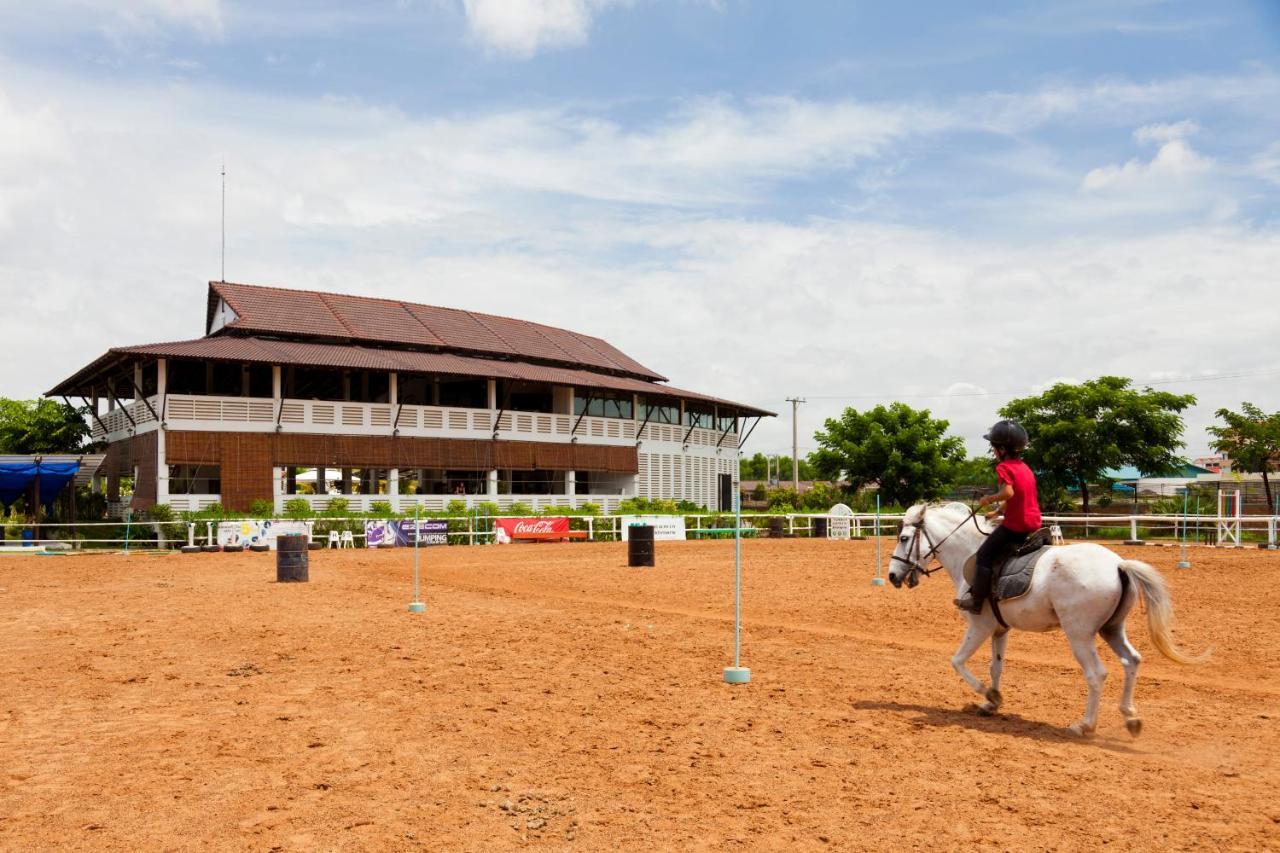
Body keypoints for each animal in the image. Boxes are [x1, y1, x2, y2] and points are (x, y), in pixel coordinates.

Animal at [885, 502, 1203, 732]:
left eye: (904, 538)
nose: (892, 576)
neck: (969, 555)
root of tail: (1118, 565)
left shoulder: (980, 626)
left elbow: (958, 661)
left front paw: (987, 695)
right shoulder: (1000, 630)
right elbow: (995, 667)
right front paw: (991, 703)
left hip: (1079, 635)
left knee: (1097, 674)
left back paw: (1085, 725)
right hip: (1112, 629)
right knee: (1132, 660)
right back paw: (1131, 717)